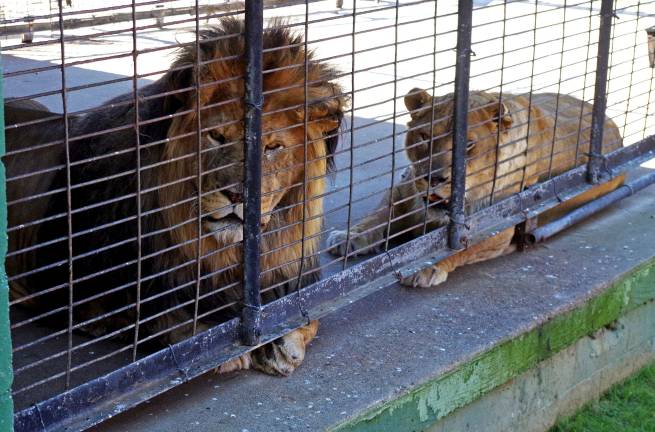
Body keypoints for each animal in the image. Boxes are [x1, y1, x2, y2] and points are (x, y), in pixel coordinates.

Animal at [7, 17, 346, 374]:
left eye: (273, 147)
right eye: (215, 136)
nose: (236, 195)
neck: (220, 253)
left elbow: (309, 313)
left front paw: (286, 341)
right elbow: (164, 318)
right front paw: (218, 347)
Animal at [330, 88, 624, 286]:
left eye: (468, 145)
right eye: (424, 136)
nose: (434, 178)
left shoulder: (499, 226)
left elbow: (462, 245)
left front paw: (424, 266)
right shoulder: (405, 189)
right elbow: (379, 215)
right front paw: (349, 237)